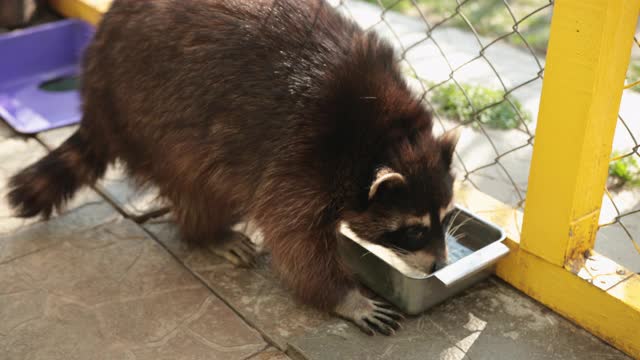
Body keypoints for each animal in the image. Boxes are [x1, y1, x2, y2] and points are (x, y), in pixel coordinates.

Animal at [5, 0, 458, 334]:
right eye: (414, 229)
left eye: (446, 216)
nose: (440, 265)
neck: (386, 137)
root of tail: (94, 88)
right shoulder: (303, 153)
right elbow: (296, 239)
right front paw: (345, 297)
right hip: (148, 114)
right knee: (199, 181)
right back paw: (208, 232)